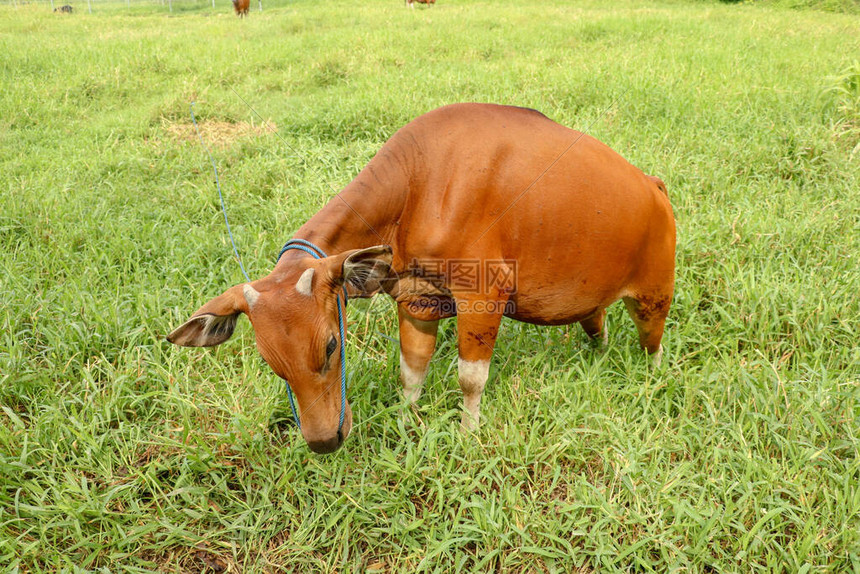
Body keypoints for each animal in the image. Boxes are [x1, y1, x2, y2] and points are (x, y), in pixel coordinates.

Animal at [170, 102, 680, 454]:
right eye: (270, 361)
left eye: (332, 345)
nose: (323, 442)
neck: (417, 185)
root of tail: (653, 186)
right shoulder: (416, 298)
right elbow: (411, 369)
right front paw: (406, 419)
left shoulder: (483, 295)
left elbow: (471, 379)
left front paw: (468, 434)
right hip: (592, 300)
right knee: (598, 326)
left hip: (655, 293)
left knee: (652, 342)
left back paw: (652, 382)